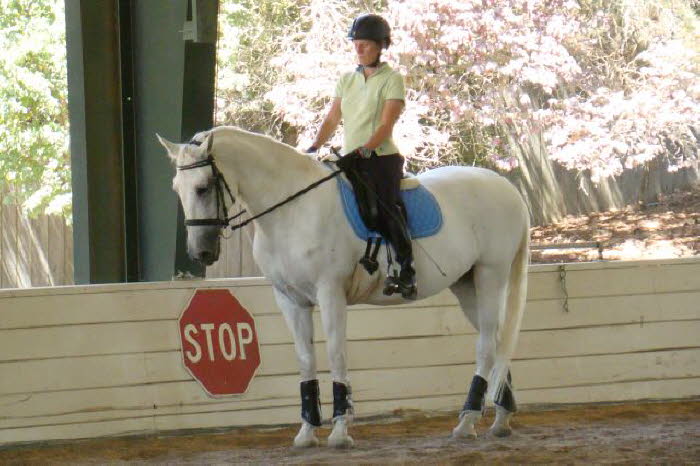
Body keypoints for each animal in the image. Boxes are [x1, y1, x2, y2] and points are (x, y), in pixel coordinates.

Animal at [160, 126, 532, 448]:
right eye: (176, 188)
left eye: (203, 187)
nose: (200, 253)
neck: (292, 209)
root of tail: (506, 187)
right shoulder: (290, 300)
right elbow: (306, 360)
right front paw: (307, 433)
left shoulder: (330, 293)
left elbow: (336, 354)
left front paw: (340, 431)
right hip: (467, 285)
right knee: (497, 342)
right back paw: (500, 420)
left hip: (491, 276)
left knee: (486, 346)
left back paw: (467, 422)